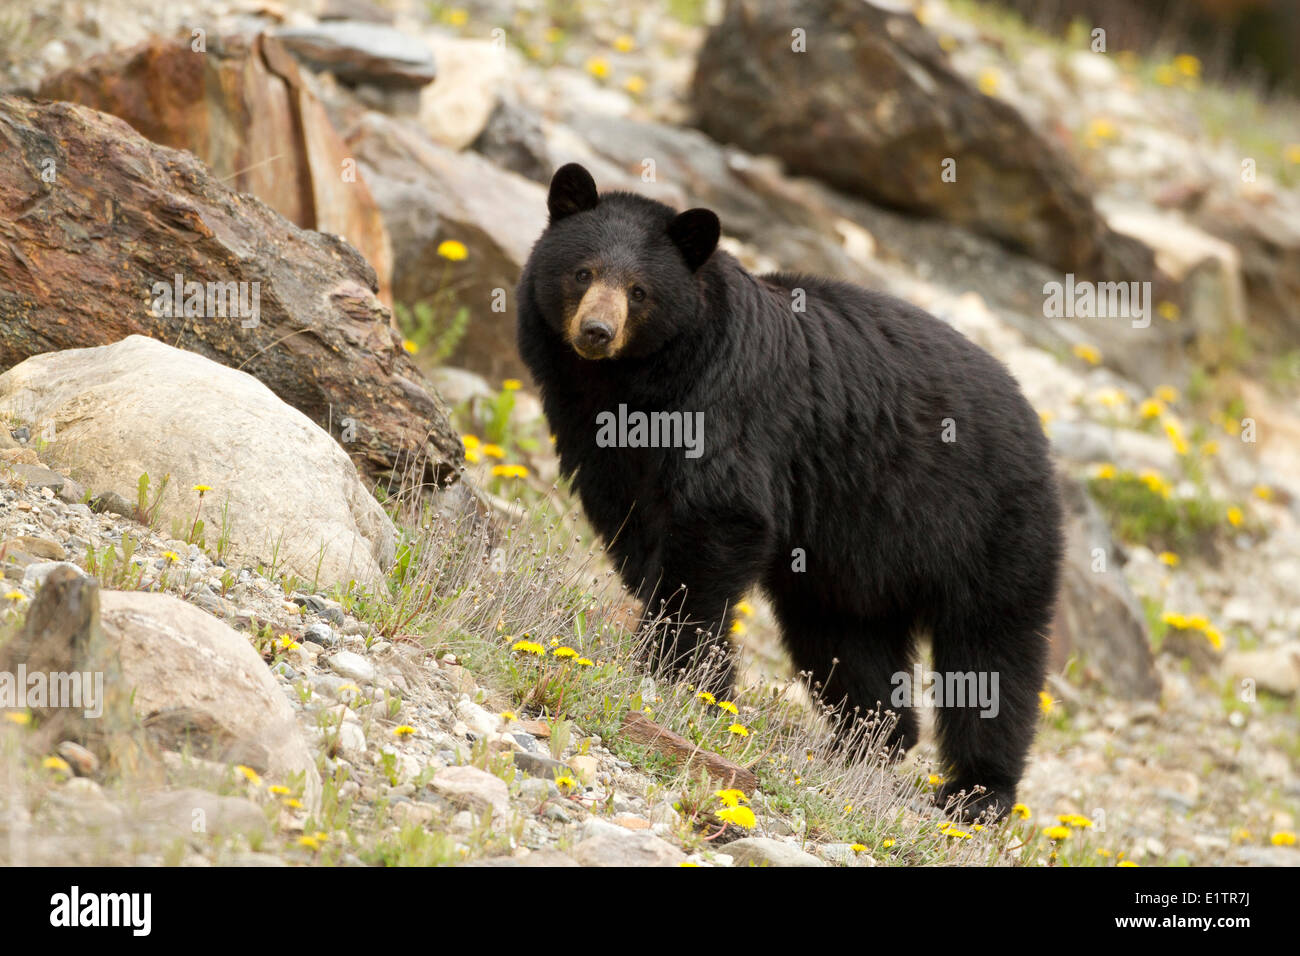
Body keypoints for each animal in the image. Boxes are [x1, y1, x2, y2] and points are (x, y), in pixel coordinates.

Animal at [512, 162, 1060, 816]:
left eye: (640, 290)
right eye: (583, 272)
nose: (596, 331)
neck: (631, 386)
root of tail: (1032, 417)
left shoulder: (726, 405)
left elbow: (717, 521)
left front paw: (685, 675)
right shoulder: (592, 433)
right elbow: (632, 527)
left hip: (989, 520)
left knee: (992, 650)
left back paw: (978, 791)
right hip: (850, 560)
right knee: (847, 640)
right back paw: (865, 744)